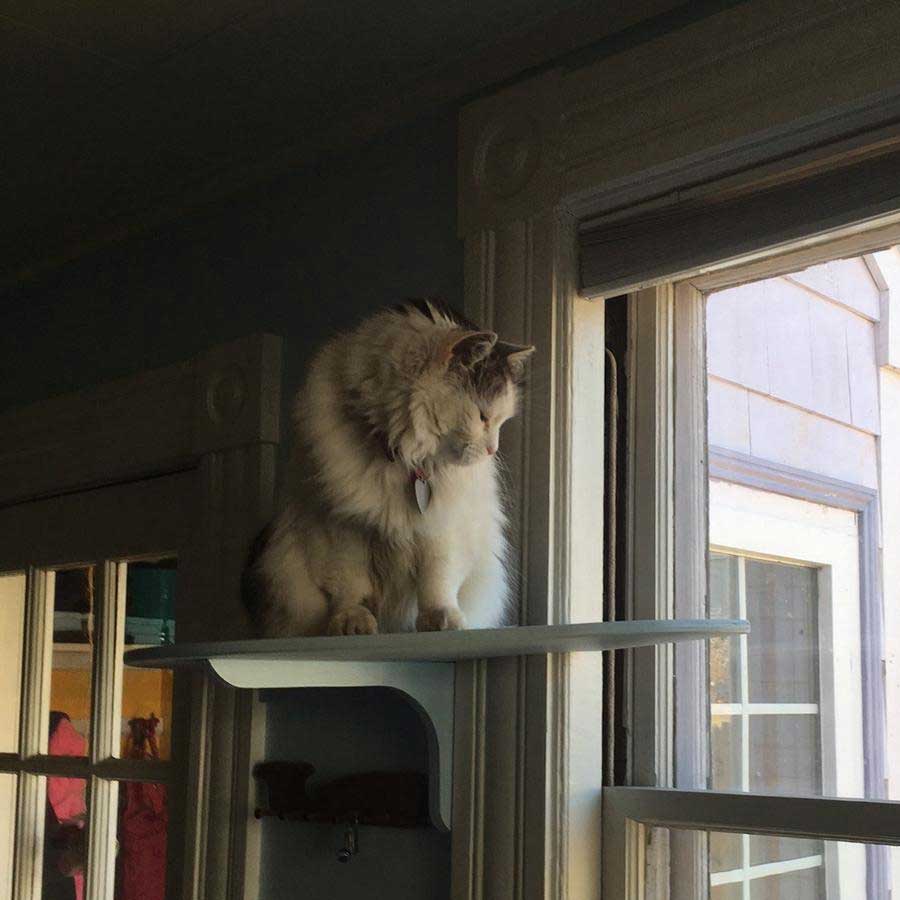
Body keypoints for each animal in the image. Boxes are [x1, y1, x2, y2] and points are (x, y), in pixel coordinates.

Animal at [243, 298, 532, 636]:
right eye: (483, 416)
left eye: (500, 421)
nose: (492, 450)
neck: (402, 457)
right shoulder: (341, 527)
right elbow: (350, 588)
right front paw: (353, 622)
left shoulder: (441, 528)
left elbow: (437, 582)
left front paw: (443, 621)